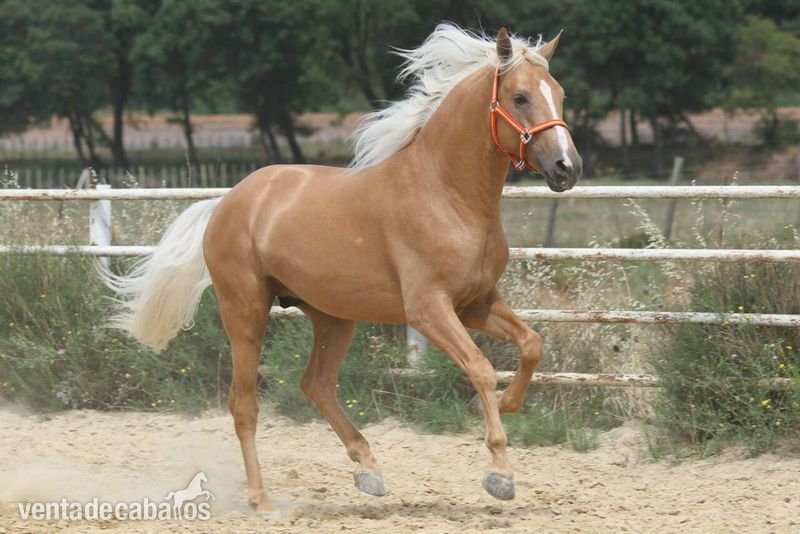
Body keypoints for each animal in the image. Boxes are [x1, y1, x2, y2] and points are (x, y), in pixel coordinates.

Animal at [102, 24, 581, 516]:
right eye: (520, 97)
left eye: (560, 94)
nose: (568, 168)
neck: (445, 193)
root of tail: (226, 202)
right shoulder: (429, 309)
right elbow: (482, 369)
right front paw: (500, 475)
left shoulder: (476, 303)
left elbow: (532, 345)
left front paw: (499, 406)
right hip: (247, 311)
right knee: (244, 404)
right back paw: (262, 499)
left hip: (332, 316)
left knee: (316, 384)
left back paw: (368, 469)